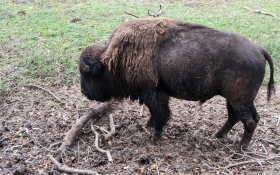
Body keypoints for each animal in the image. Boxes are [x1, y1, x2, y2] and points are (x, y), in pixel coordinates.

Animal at [79, 18, 274, 152]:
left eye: (86, 74)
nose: (83, 91)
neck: (113, 60)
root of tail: (260, 50)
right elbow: (154, 113)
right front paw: (149, 126)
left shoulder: (153, 94)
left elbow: (160, 114)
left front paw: (155, 137)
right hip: (237, 100)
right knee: (242, 117)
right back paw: (218, 135)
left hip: (239, 99)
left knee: (249, 121)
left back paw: (241, 147)